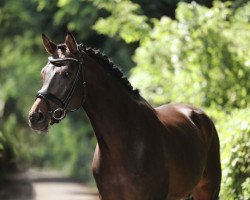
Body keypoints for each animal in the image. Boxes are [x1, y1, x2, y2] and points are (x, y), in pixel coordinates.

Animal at [28, 32, 222, 199]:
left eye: (67, 74)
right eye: (43, 74)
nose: (35, 117)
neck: (126, 143)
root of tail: (201, 116)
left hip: (208, 192)